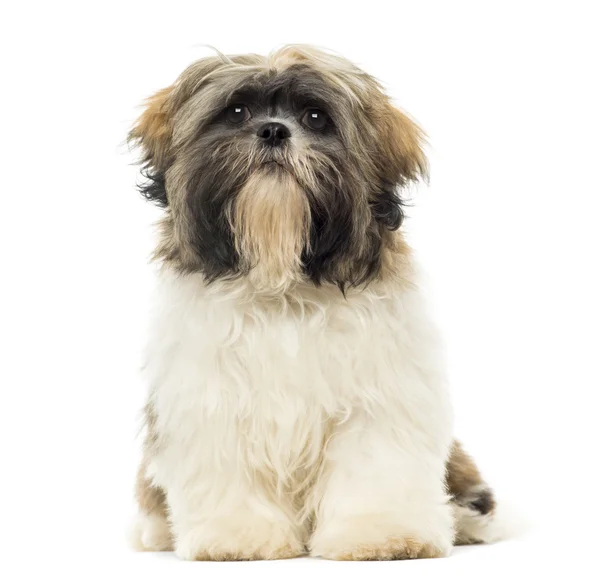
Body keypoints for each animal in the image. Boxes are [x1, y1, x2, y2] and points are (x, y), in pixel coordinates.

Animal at [127, 43, 496, 560]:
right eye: (237, 112)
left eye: (315, 117)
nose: (273, 130)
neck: (282, 282)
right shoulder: (211, 399)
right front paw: (236, 537)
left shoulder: (378, 397)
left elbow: (376, 465)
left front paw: (383, 533)